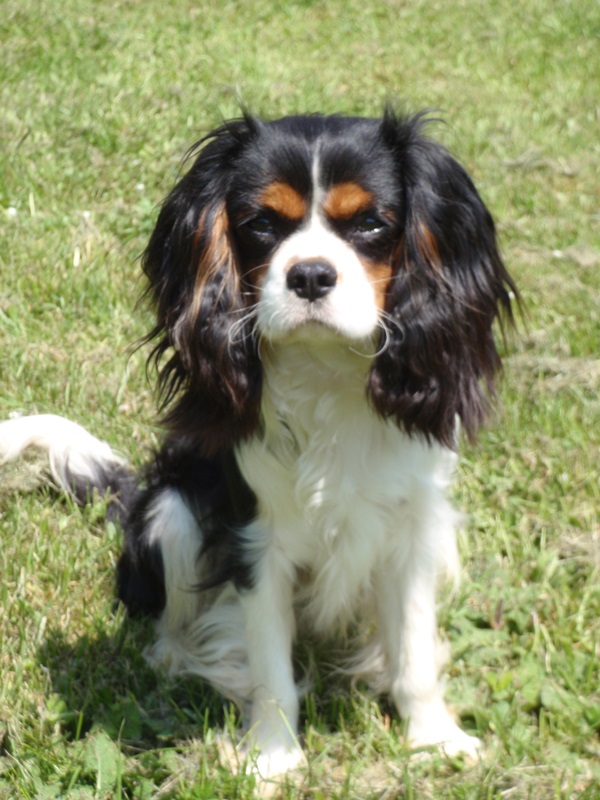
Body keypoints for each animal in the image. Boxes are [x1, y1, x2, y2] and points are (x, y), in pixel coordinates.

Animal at [0, 109, 516, 780]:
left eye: (371, 224)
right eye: (262, 225)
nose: (310, 274)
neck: (325, 372)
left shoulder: (412, 529)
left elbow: (414, 648)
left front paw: (433, 737)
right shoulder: (254, 539)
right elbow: (271, 663)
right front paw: (273, 755)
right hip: (174, 511)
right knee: (171, 611)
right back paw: (176, 658)